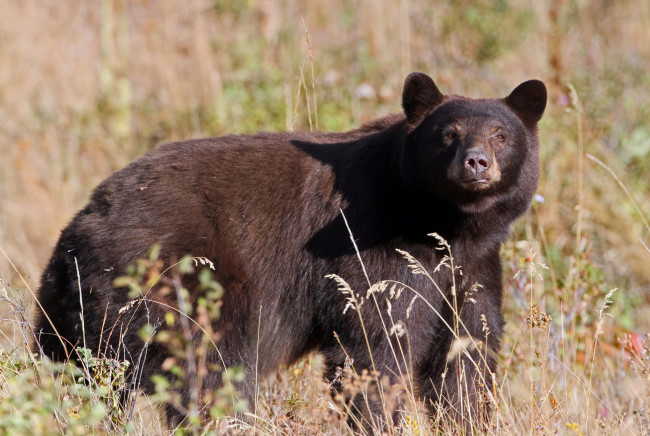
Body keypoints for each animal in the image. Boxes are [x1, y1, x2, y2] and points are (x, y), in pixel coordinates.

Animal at [34, 71, 540, 430]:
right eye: (447, 133)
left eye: (501, 134)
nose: (476, 162)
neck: (443, 224)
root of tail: (77, 230)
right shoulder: (372, 249)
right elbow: (376, 346)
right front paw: (380, 417)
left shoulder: (471, 268)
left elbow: (467, 354)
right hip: (178, 282)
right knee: (210, 370)